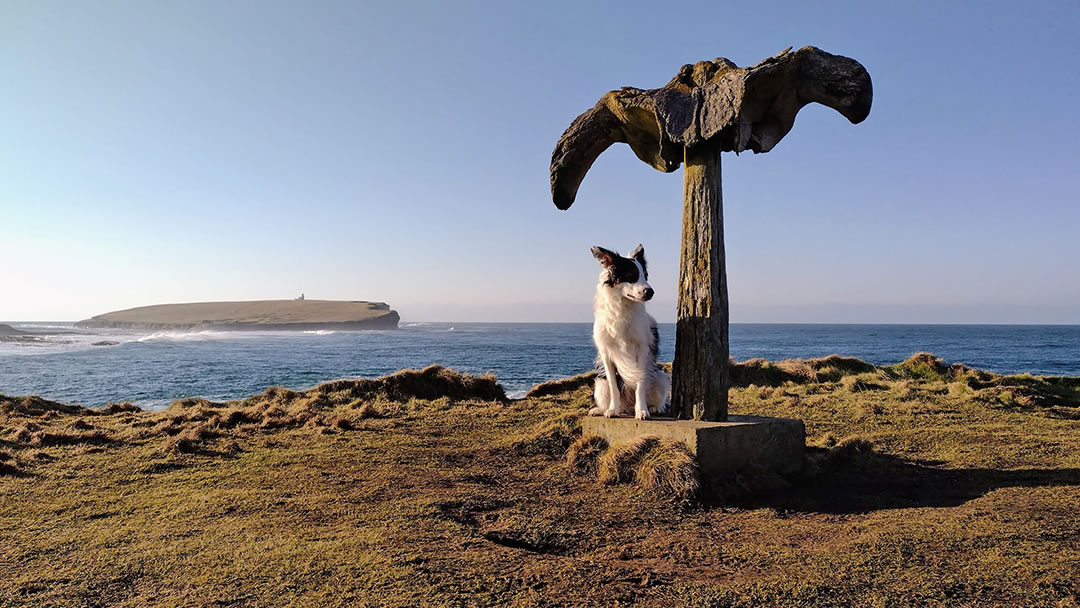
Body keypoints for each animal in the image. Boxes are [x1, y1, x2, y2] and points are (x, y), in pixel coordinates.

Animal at [591, 245, 665, 421]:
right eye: (631, 275)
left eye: (645, 276)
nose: (650, 292)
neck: (623, 308)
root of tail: (628, 406)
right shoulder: (606, 353)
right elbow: (613, 386)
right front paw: (612, 410)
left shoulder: (642, 349)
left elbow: (640, 383)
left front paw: (642, 410)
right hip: (600, 385)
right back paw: (601, 409)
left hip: (661, 378)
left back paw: (654, 408)